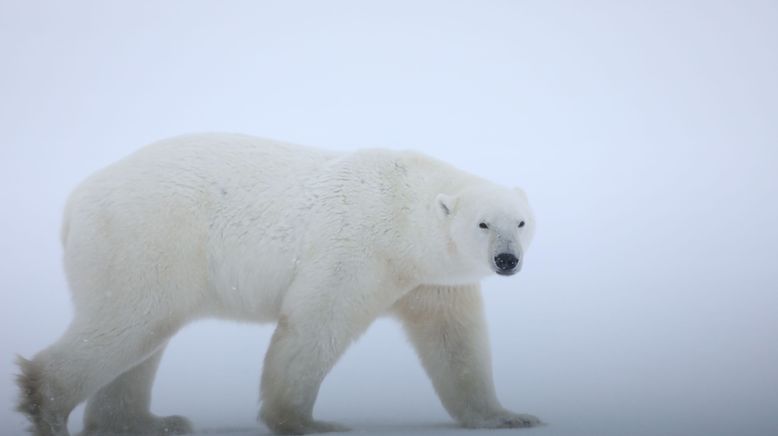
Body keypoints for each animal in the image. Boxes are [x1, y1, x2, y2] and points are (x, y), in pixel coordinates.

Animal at [18, 134, 540, 436]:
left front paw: (508, 415)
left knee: (141, 342)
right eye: (482, 224)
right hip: (147, 238)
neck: (403, 207)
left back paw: (149, 422)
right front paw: (307, 421)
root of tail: (75, 202)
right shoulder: (355, 246)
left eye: (520, 221)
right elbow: (316, 324)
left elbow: (455, 342)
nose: (507, 260)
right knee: (128, 321)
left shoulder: (430, 279)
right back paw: (47, 404)